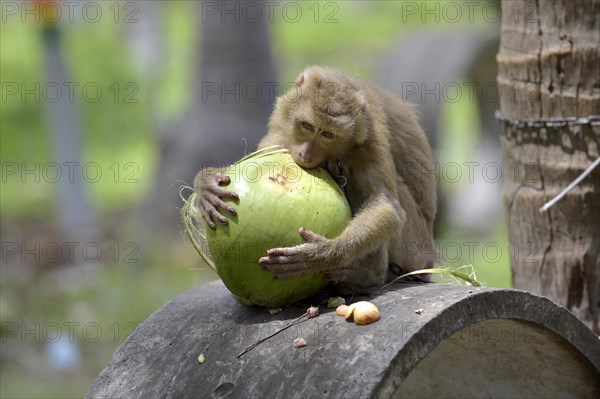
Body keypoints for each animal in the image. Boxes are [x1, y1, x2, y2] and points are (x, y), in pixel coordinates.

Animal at [196, 65, 436, 290]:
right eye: (307, 126)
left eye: (328, 134)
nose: (305, 154)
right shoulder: (283, 124)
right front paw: (206, 183)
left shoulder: (369, 136)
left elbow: (386, 205)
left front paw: (322, 254)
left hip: (413, 246)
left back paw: (369, 274)